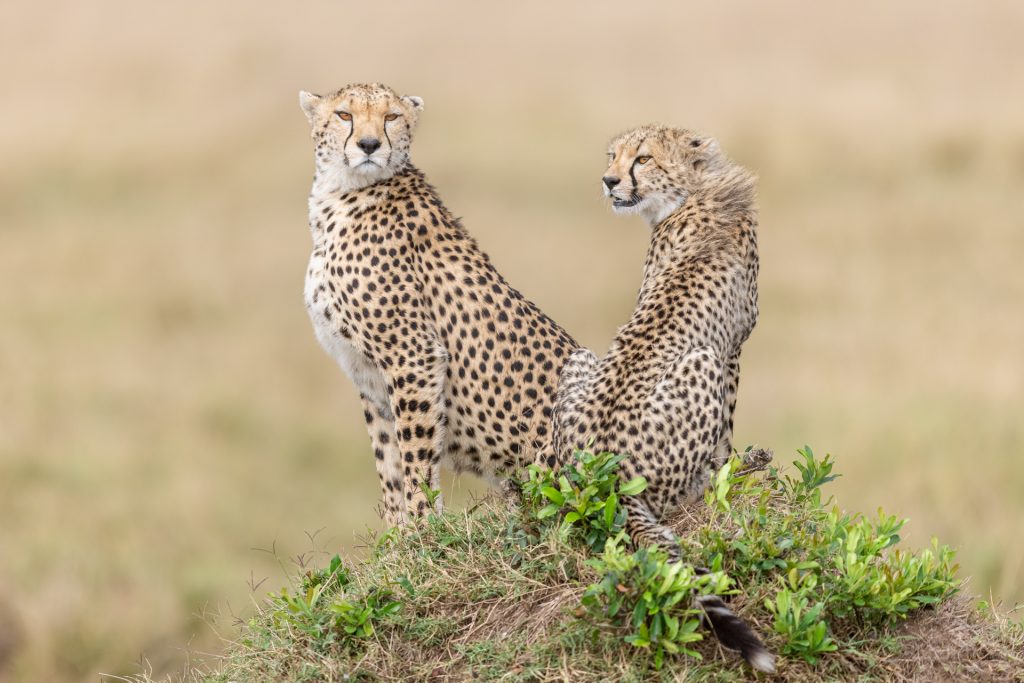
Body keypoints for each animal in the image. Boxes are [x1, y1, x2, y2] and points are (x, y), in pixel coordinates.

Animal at [299, 83, 578, 525]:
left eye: (391, 117)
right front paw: (396, 534)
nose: (369, 144)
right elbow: (389, 463)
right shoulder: (369, 375)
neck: (343, 192)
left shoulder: (413, 357)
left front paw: (422, 528)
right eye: (344, 115)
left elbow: (416, 454)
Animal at [541, 125, 773, 672]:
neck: (697, 191)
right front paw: (732, 472)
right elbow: (726, 438)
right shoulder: (731, 352)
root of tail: (600, 474)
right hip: (701, 362)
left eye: (642, 158)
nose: (608, 180)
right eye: (614, 156)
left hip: (581, 360)